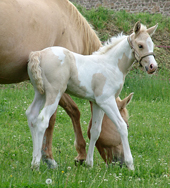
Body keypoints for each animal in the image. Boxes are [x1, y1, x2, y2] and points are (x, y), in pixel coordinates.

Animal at [26, 21, 158, 170]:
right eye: (140, 45)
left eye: (152, 44)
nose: (153, 67)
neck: (111, 65)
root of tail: (38, 54)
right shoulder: (107, 101)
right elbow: (121, 126)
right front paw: (131, 165)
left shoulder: (97, 103)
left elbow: (95, 131)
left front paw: (89, 163)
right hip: (54, 93)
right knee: (42, 120)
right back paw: (36, 164)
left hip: (41, 93)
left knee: (32, 115)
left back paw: (34, 160)